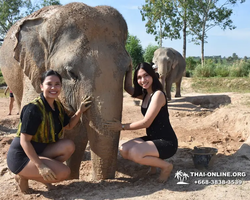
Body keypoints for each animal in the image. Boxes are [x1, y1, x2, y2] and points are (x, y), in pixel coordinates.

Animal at [0, 1, 132, 180]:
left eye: (127, 69)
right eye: (71, 73)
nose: (102, 180)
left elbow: (78, 133)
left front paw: (71, 178)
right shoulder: (33, 72)